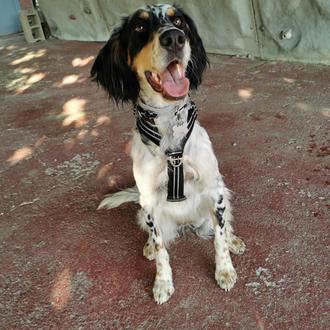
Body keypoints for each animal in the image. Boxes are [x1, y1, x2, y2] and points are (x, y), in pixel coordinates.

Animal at [90, 4, 245, 304]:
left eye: (179, 21)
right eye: (139, 27)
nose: (174, 38)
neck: (168, 122)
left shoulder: (214, 190)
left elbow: (219, 238)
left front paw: (225, 269)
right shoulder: (150, 201)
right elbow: (163, 250)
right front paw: (162, 282)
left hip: (224, 194)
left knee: (222, 226)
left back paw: (234, 240)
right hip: (144, 211)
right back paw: (149, 247)